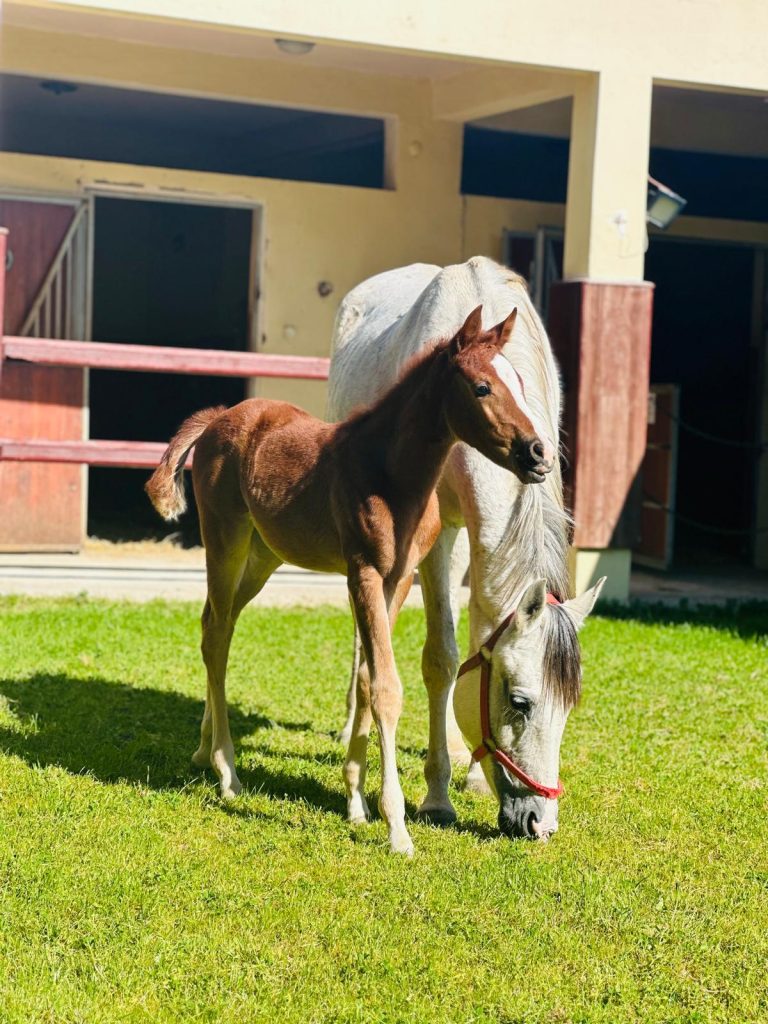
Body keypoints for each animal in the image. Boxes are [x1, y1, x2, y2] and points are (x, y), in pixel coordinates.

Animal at [145, 305, 552, 856]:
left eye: (522, 383)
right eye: (482, 387)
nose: (537, 454)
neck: (389, 471)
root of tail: (219, 417)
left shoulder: (397, 579)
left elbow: (364, 678)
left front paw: (356, 803)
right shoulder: (363, 571)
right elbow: (385, 688)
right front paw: (397, 826)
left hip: (263, 556)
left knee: (216, 624)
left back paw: (204, 749)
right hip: (225, 541)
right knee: (216, 636)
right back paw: (227, 771)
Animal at [327, 256, 606, 839]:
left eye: (570, 706)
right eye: (520, 702)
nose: (539, 824)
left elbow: (474, 645)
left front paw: (472, 774)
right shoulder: (434, 540)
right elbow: (441, 660)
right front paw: (436, 795)